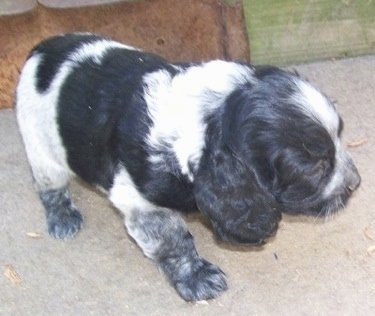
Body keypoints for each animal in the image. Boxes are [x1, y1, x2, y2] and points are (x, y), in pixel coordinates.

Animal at [16, 33, 362, 300]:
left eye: (340, 138)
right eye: (314, 168)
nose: (356, 183)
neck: (209, 120)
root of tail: (40, 50)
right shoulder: (141, 204)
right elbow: (175, 243)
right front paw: (197, 279)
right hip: (40, 146)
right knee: (49, 186)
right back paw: (62, 217)